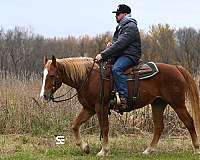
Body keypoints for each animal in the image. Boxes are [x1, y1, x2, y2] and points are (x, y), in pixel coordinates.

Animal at [40, 55, 200, 156]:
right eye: (44, 75)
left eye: (52, 75)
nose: (44, 96)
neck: (88, 78)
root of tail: (176, 68)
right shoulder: (89, 108)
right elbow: (75, 125)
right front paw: (85, 147)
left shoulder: (100, 107)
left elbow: (104, 127)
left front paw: (104, 151)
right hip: (158, 104)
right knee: (159, 127)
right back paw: (148, 150)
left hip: (178, 104)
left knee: (189, 122)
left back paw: (196, 148)